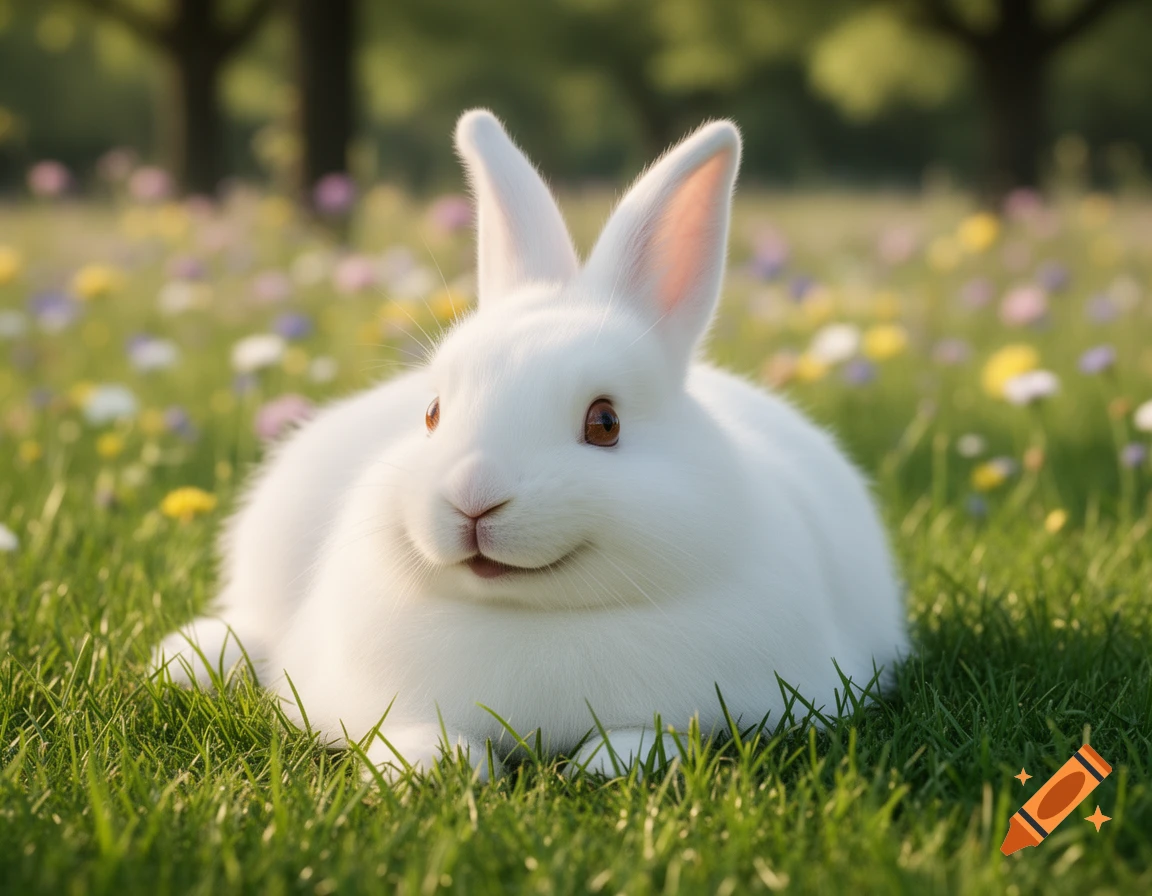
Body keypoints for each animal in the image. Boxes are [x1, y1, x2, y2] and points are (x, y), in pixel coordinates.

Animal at [152, 108, 908, 780]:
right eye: (432, 412)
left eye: (605, 423)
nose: (473, 498)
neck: (530, 613)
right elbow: (412, 729)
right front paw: (432, 766)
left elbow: (656, 731)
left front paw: (611, 764)